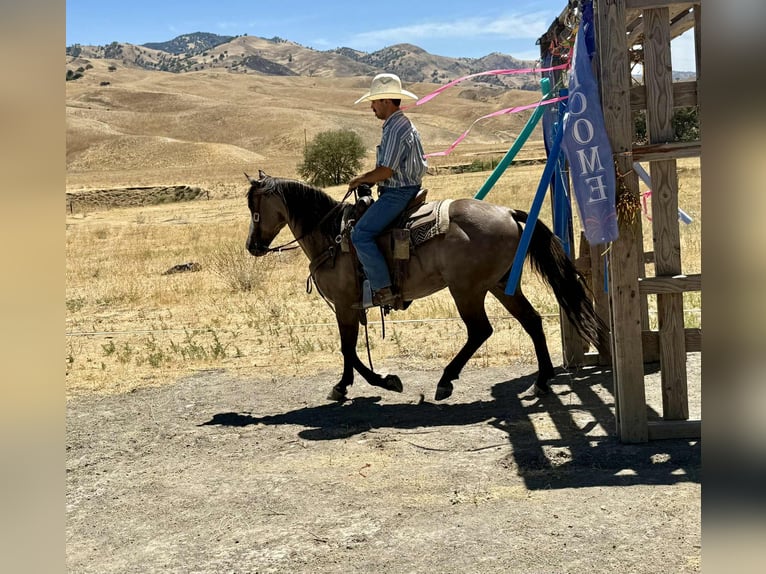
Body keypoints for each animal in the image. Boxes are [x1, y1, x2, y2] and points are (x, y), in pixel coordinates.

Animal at [245, 170, 606, 402]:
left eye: (254, 209)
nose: (252, 246)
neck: (332, 235)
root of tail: (507, 213)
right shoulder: (349, 308)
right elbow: (349, 349)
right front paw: (349, 384)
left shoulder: (345, 305)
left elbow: (347, 348)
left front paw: (379, 382)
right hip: (502, 284)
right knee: (531, 321)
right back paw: (542, 381)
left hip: (467, 290)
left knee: (480, 330)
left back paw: (446, 381)